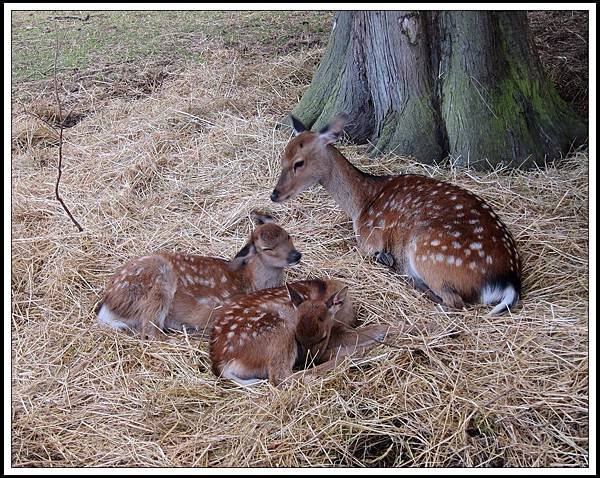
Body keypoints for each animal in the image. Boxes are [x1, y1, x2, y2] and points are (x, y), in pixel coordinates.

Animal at [97, 211, 300, 338]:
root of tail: (109, 301)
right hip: (159, 284)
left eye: (288, 235)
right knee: (150, 333)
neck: (250, 282)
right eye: (267, 248)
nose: (296, 255)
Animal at [272, 114, 520, 316]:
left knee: (454, 302)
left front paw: (386, 258)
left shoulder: (369, 239)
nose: (275, 194)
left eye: (299, 163)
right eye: (282, 158)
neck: (361, 203)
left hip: (427, 253)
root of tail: (508, 279)